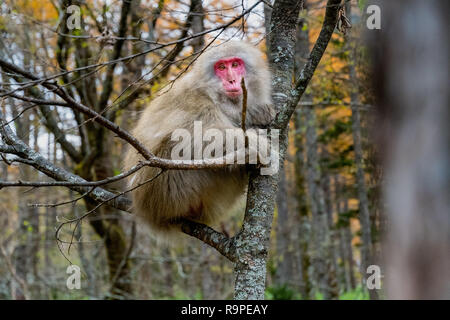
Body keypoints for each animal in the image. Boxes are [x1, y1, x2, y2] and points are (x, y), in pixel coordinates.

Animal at [125, 40, 276, 240]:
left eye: (235, 64)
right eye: (221, 67)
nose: (231, 80)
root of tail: (150, 215)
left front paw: (259, 112)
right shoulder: (195, 101)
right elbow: (199, 136)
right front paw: (260, 145)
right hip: (166, 189)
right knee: (175, 146)